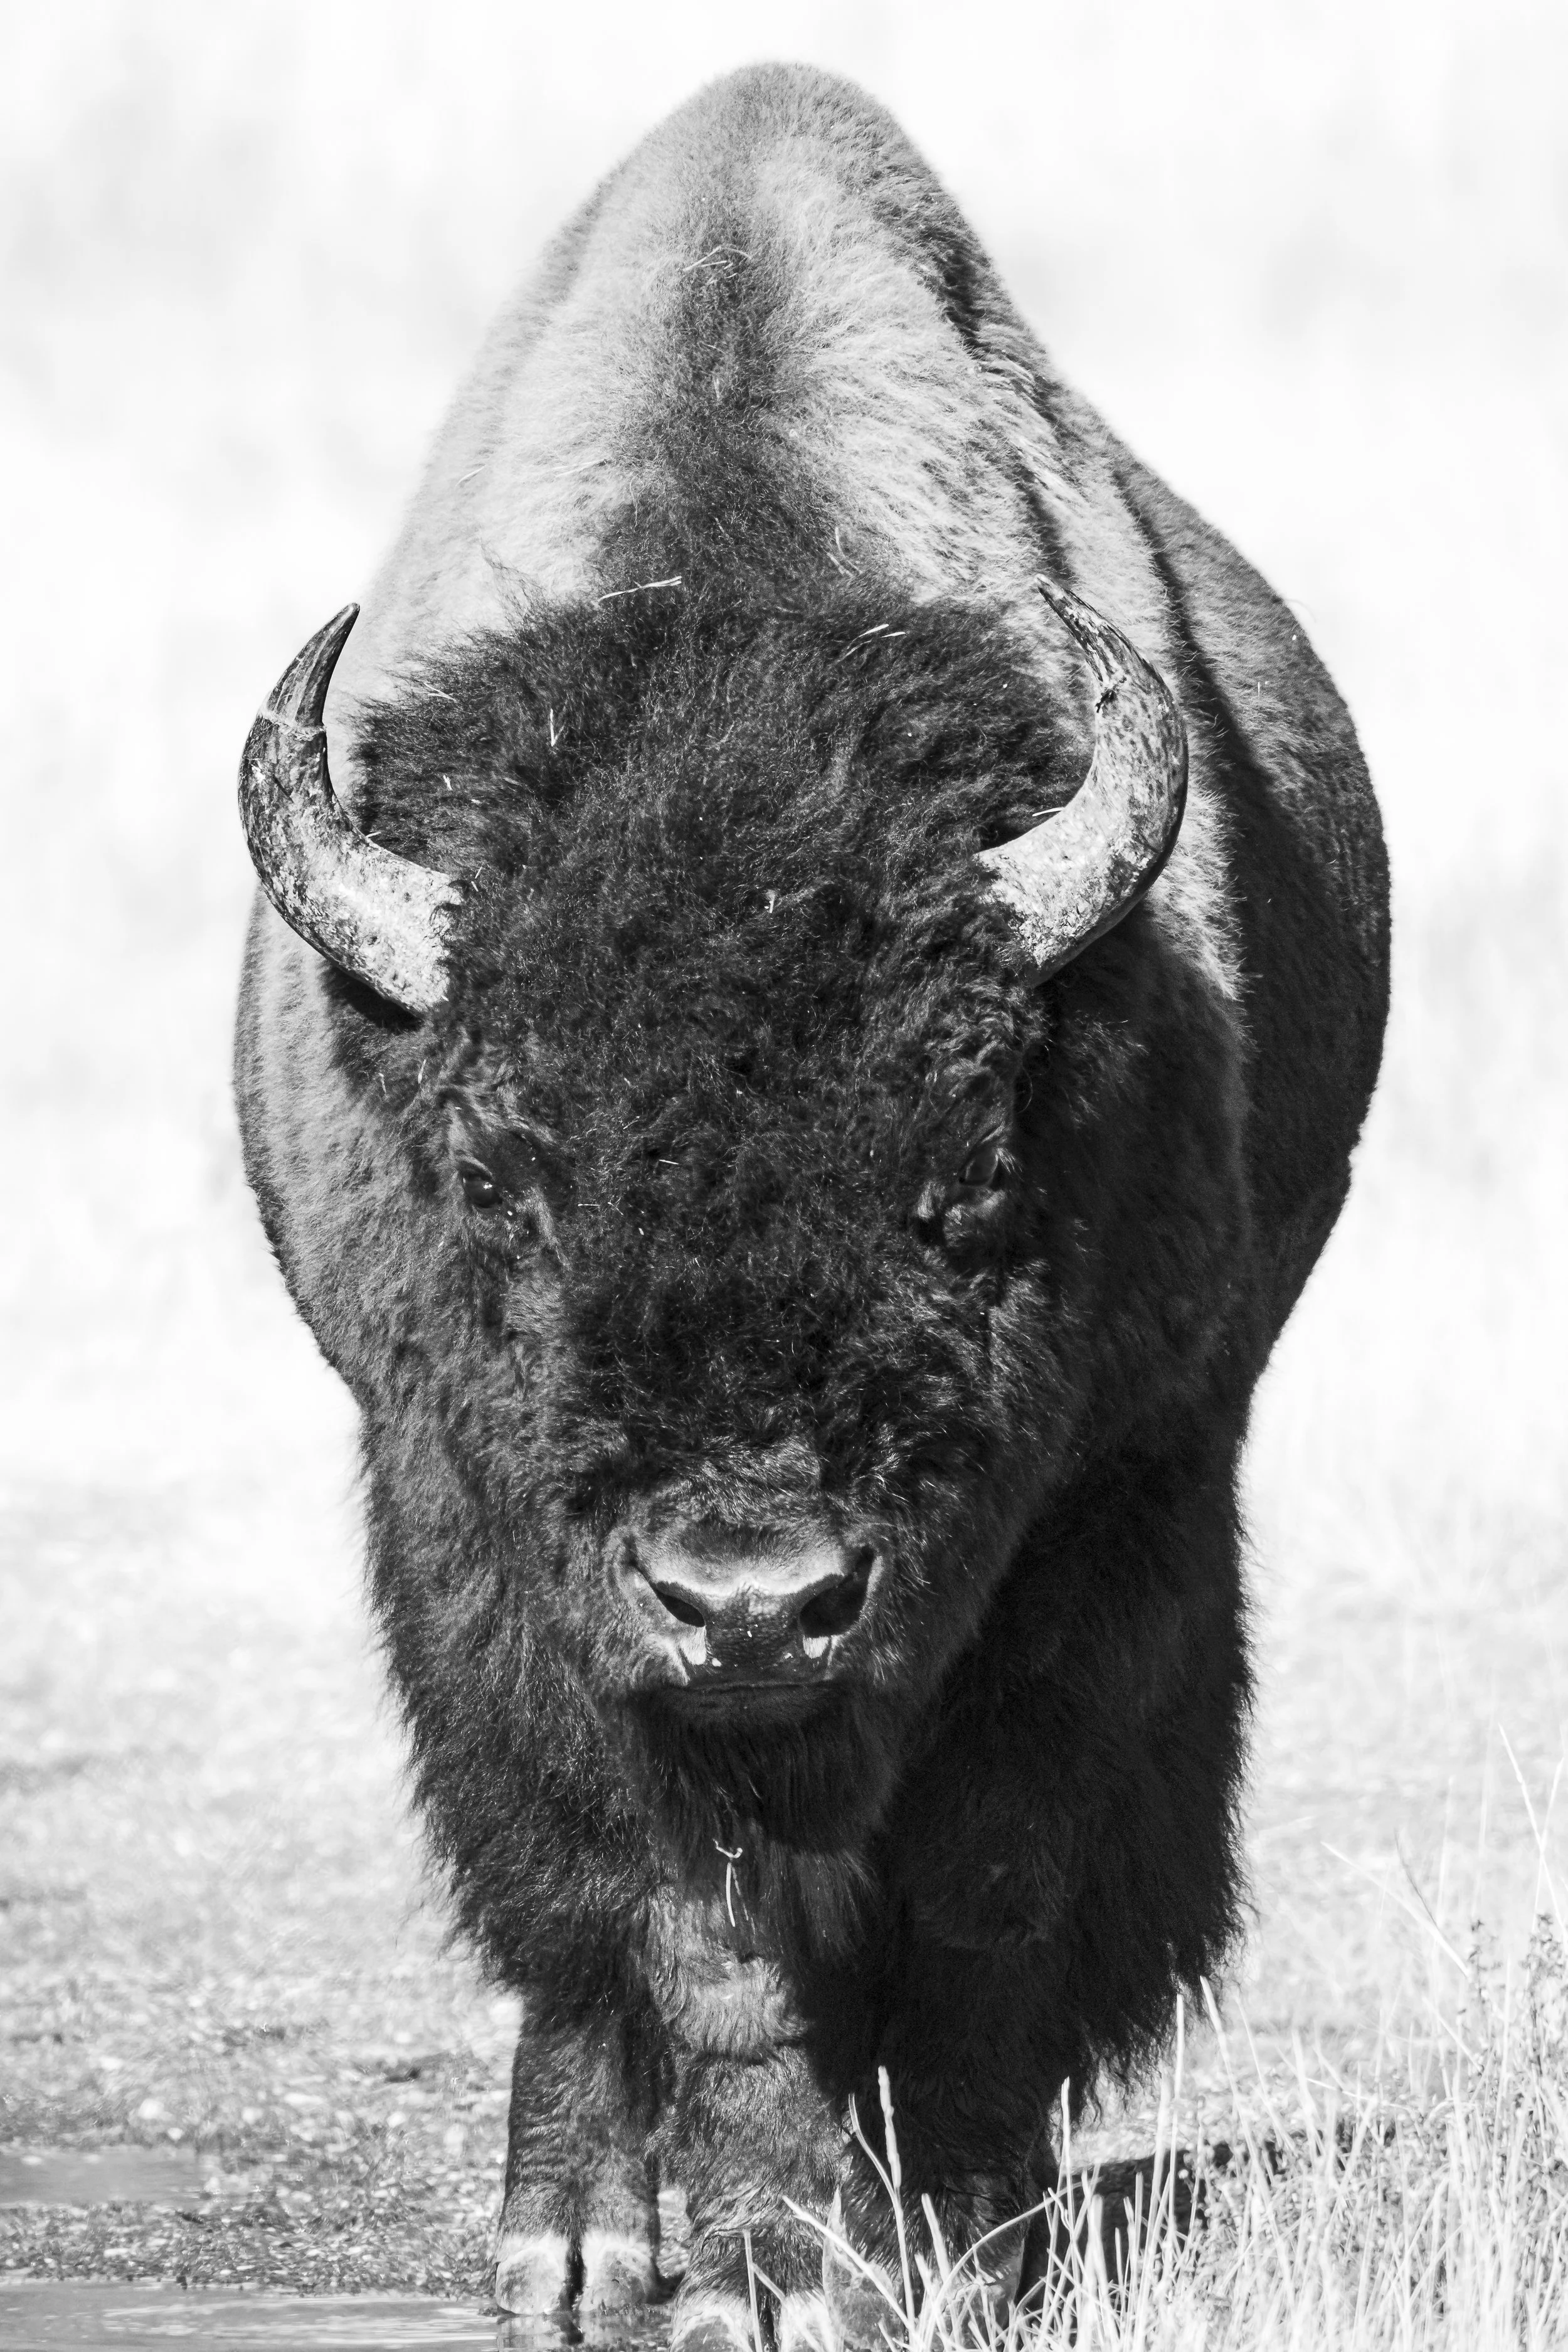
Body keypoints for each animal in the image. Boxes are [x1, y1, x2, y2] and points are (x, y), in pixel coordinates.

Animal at [234, 63, 1388, 2351]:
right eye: (499, 1177)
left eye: (970, 1181)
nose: (755, 1597)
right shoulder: (506, 1560)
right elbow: (679, 1914)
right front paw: (759, 2268)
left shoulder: (1120, 1495)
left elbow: (993, 1877)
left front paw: (948, 2237)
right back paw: (571, 2240)